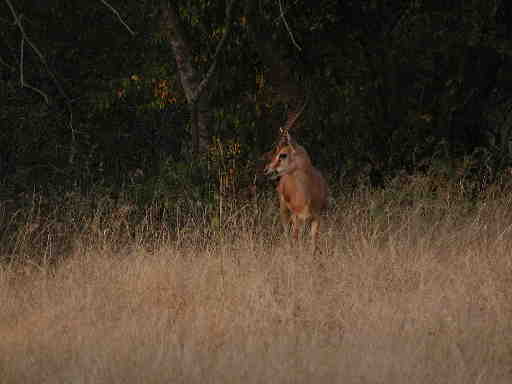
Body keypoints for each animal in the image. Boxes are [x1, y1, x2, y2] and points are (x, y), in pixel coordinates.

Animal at [264, 107, 328, 255]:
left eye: (282, 154)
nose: (267, 170)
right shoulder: (298, 218)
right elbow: (296, 240)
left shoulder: (316, 218)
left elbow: (313, 244)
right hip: (284, 211)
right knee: (288, 234)